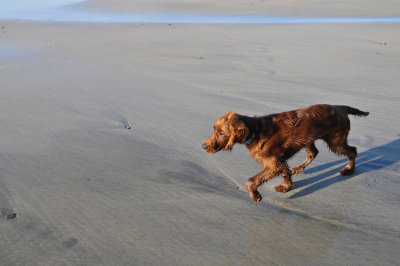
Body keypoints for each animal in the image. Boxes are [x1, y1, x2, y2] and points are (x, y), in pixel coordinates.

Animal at [203, 104, 368, 202]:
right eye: (214, 129)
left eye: (222, 134)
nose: (204, 146)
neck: (255, 131)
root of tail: (340, 107)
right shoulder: (279, 161)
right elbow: (285, 173)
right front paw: (286, 186)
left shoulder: (273, 163)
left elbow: (250, 181)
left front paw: (256, 196)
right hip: (308, 139)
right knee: (313, 153)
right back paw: (299, 168)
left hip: (335, 141)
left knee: (352, 151)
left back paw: (349, 169)